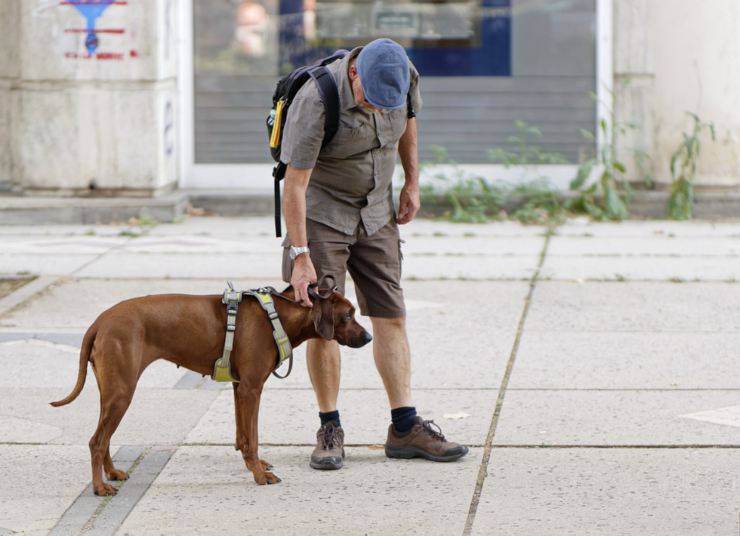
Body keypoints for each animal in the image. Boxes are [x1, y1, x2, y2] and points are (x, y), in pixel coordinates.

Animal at [49, 282, 370, 496]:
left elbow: (244, 435)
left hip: (112, 391)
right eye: (348, 315)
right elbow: (253, 438)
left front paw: (254, 465)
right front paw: (259, 474)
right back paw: (99, 486)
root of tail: (100, 321)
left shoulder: (240, 387)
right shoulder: (251, 388)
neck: (277, 315)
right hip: (122, 392)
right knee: (96, 440)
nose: (368, 337)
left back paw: (112, 473)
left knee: (104, 437)